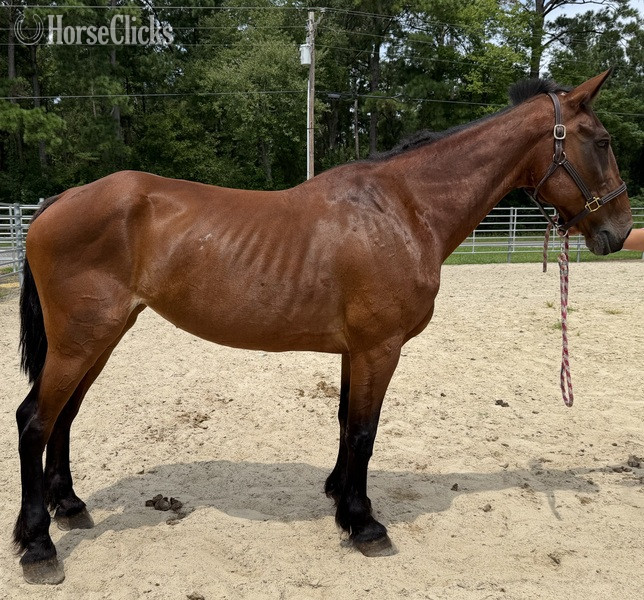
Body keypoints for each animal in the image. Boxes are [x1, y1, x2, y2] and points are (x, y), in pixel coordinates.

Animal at [13, 70, 632, 584]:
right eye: (601, 141)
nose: (620, 231)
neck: (405, 209)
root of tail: (63, 198)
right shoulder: (380, 348)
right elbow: (364, 431)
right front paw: (364, 524)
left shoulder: (353, 350)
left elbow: (344, 423)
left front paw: (338, 497)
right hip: (81, 340)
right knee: (34, 422)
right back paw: (38, 545)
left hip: (100, 339)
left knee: (63, 416)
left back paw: (69, 508)